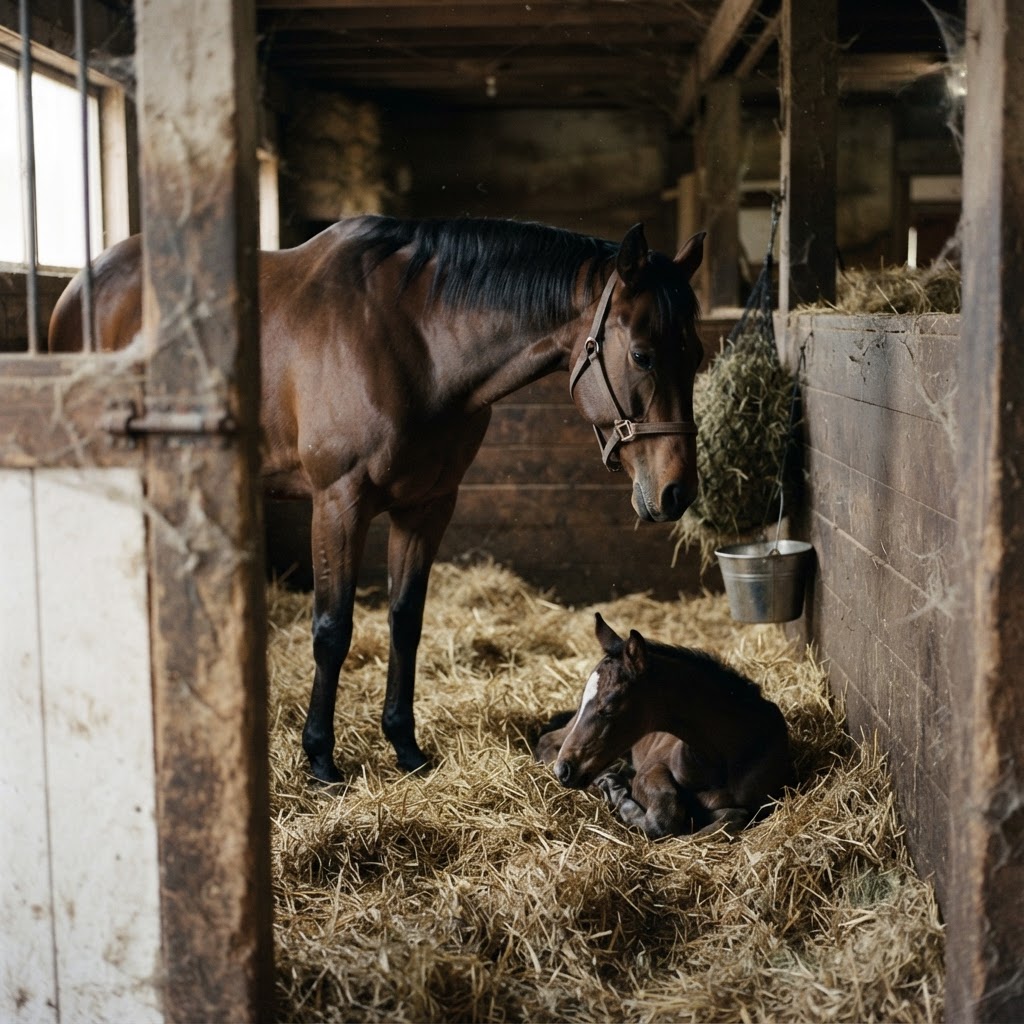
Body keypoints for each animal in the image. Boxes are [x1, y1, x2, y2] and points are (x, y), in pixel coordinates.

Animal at [49, 215, 706, 784]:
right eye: (642, 353)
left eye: (696, 356)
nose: (676, 492)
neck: (414, 341)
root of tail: (84, 282)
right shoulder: (339, 503)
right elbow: (332, 629)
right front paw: (320, 758)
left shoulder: (428, 506)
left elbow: (405, 620)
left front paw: (405, 746)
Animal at [535, 613, 794, 837]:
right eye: (583, 699)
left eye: (609, 707)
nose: (564, 770)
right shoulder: (652, 767)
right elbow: (664, 813)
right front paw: (621, 798)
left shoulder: (762, 804)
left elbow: (732, 817)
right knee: (547, 741)